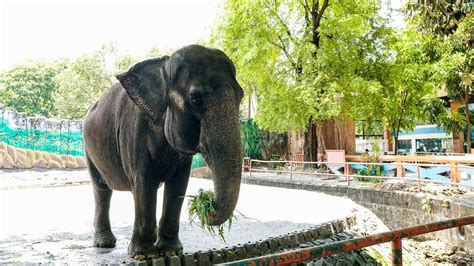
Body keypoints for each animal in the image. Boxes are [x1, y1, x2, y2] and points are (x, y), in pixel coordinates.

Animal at [82, 44, 244, 260]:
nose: (206, 198)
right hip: (89, 149)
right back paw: (104, 243)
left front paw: (170, 251)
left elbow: (178, 185)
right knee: (101, 189)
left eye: (241, 96)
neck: (163, 66)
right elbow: (144, 184)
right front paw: (143, 255)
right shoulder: (134, 133)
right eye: (195, 99)